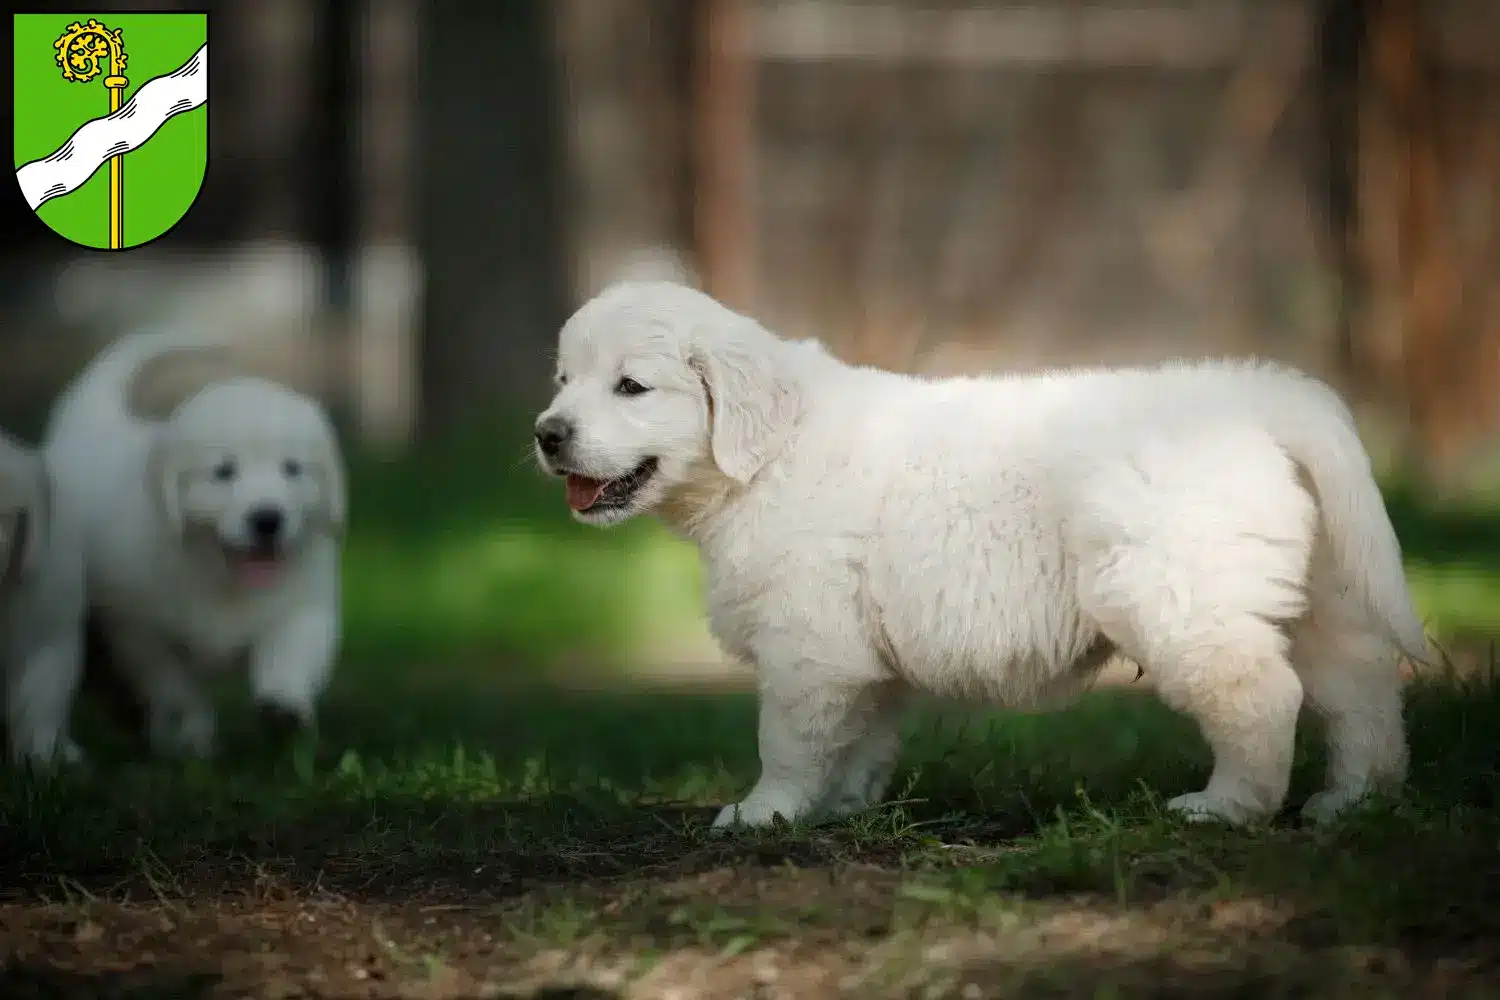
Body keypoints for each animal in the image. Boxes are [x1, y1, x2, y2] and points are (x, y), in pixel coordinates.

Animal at [41, 329, 348, 758]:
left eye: (292, 468)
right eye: (224, 472)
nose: (268, 519)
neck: (219, 574)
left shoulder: (302, 602)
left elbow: (290, 650)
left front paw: (284, 707)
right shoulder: (138, 628)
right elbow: (174, 686)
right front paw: (191, 737)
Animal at [537, 280, 1428, 827]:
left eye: (631, 387)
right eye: (562, 380)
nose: (547, 433)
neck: (768, 455)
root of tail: (1260, 396)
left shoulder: (806, 645)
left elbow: (786, 740)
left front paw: (765, 813)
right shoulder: (855, 653)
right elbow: (860, 739)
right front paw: (842, 809)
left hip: (1181, 595)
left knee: (1261, 695)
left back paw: (1226, 808)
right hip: (1315, 587)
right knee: (1360, 690)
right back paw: (1356, 801)